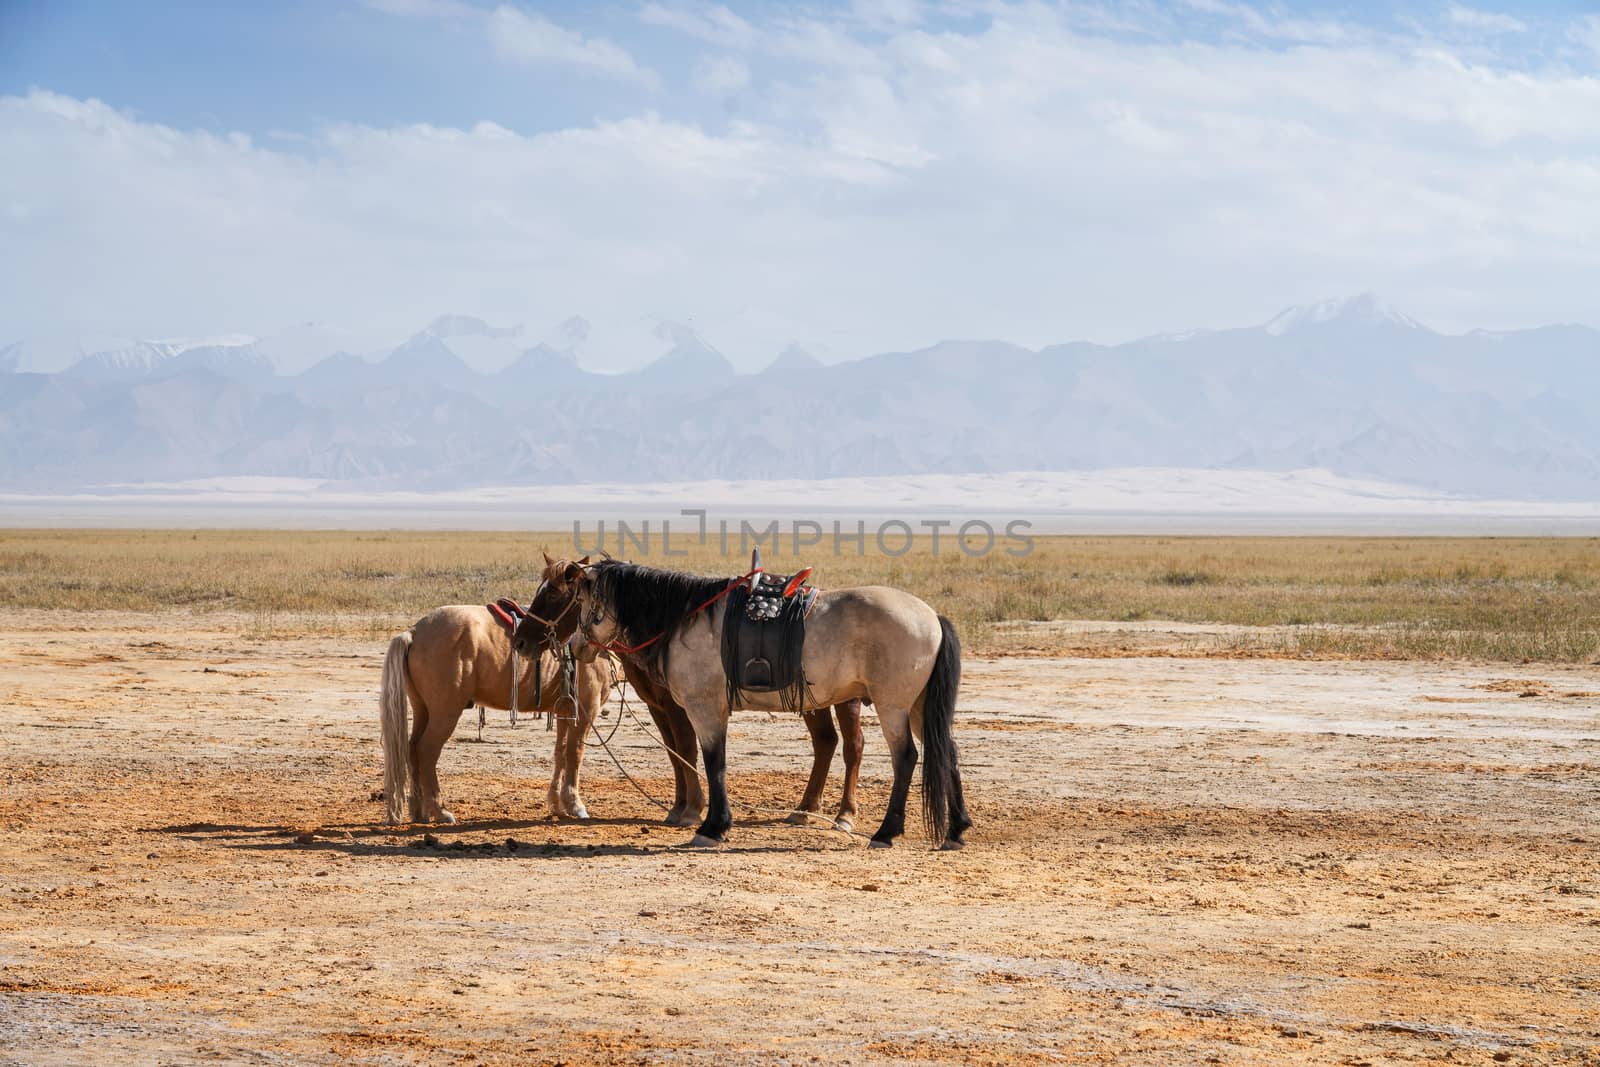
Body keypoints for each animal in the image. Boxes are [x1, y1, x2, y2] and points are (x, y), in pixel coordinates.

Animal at [379, 601, 617, 825]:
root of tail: (415, 632)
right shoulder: (586, 711)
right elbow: (574, 755)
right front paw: (575, 805)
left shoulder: (565, 710)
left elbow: (561, 753)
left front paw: (557, 805)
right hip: (444, 714)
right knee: (426, 751)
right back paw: (439, 810)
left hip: (422, 709)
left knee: (412, 749)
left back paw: (419, 811)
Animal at [528, 556, 972, 844]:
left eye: (570, 598)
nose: (574, 646)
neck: (684, 619)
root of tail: (932, 617)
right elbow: (697, 759)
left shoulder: (704, 709)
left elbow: (712, 763)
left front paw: (712, 826)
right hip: (918, 707)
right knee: (945, 750)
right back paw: (956, 830)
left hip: (892, 706)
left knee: (904, 758)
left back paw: (885, 831)